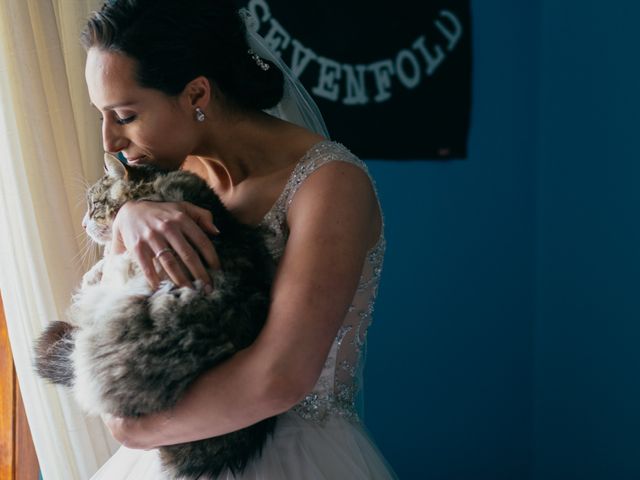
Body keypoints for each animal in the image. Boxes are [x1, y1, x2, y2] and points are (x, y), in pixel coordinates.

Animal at [33, 154, 276, 480]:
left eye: (94, 205)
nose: (84, 224)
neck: (154, 188)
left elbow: (108, 257)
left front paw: (93, 272)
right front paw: (92, 272)